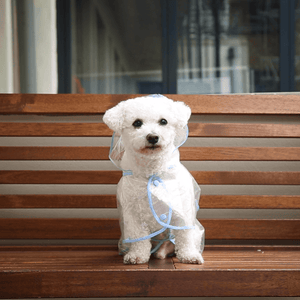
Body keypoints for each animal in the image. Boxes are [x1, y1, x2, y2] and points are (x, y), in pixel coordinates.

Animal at [103, 95, 204, 264]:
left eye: (163, 121)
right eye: (137, 123)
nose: (153, 137)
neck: (153, 171)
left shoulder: (182, 210)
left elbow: (185, 236)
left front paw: (189, 255)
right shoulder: (133, 214)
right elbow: (139, 238)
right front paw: (137, 255)